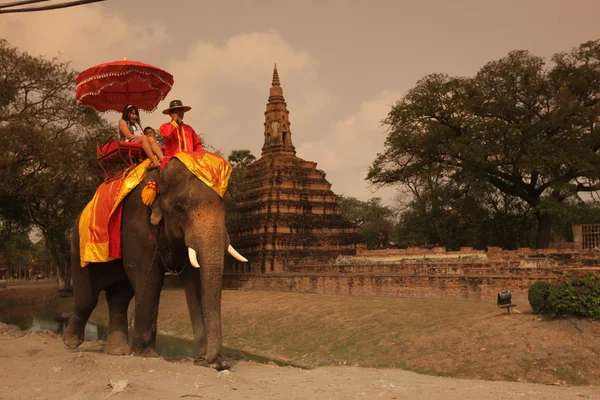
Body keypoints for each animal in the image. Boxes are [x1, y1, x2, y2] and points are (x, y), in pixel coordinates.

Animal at [61, 155, 246, 370]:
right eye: (180, 207)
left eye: (226, 206)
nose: (215, 362)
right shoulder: (137, 226)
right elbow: (151, 280)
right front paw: (145, 355)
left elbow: (195, 282)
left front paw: (206, 361)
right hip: (79, 247)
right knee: (87, 297)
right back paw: (71, 341)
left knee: (119, 297)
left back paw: (118, 351)